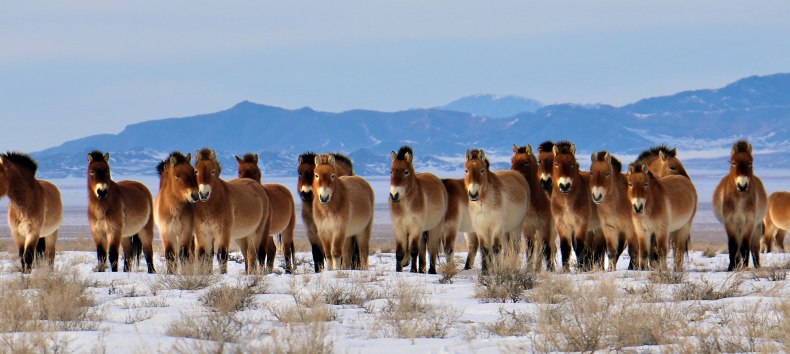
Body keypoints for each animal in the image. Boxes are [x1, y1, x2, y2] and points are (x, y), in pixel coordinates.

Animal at [552, 141, 608, 272]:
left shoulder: (580, 224)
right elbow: (565, 247)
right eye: (556, 164)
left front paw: (582, 269)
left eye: (572, 164)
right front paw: (566, 269)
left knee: (599, 248)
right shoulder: (562, 225)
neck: (566, 202)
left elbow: (580, 247)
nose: (565, 186)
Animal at [716, 140, 772, 270]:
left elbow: (745, 245)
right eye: (733, 163)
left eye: (750, 163)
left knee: (754, 246)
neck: (739, 201)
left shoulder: (749, 222)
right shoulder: (730, 222)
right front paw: (731, 267)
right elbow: (733, 245)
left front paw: (745, 266)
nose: (742, 186)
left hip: (756, 227)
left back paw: (756, 265)